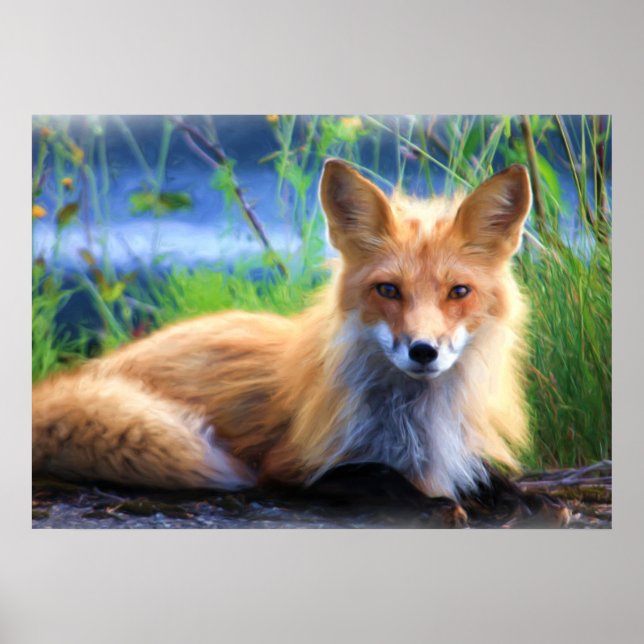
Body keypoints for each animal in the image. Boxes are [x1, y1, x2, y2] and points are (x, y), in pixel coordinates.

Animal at [32, 159, 569, 526]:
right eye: (388, 290)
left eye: (458, 292)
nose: (423, 351)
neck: (417, 421)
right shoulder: (288, 467)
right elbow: (375, 475)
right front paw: (434, 504)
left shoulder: (459, 448)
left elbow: (487, 474)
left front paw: (527, 498)